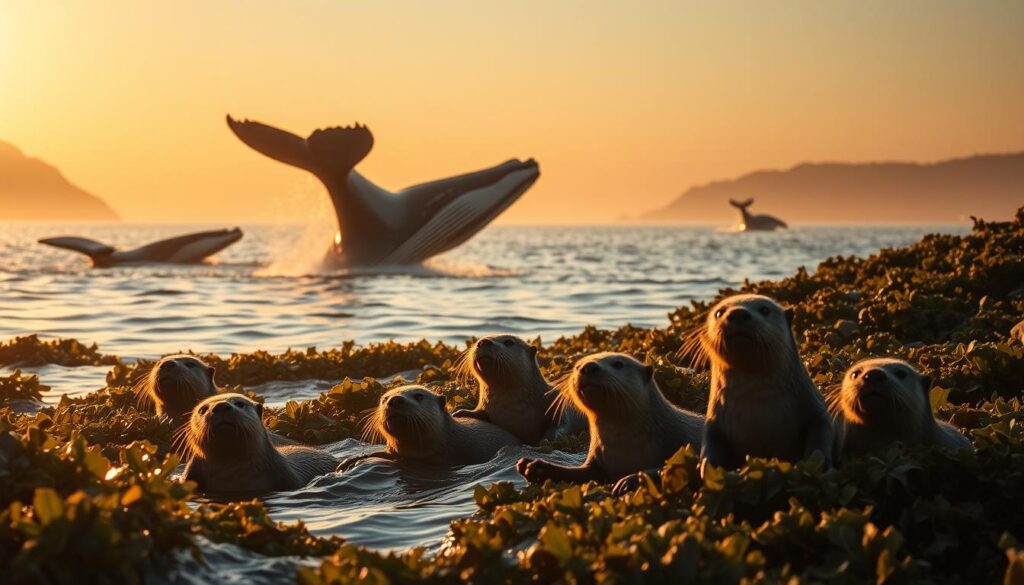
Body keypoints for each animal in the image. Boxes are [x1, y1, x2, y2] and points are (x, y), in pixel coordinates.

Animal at [453, 335, 586, 444]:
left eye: (508, 342)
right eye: (477, 341)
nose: (484, 342)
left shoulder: (556, 404)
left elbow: (561, 424)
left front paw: (546, 440)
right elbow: (480, 413)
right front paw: (461, 412)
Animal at [516, 352, 704, 485]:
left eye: (618, 364)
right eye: (577, 366)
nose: (588, 366)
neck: (626, 445)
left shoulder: (685, 440)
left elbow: (684, 465)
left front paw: (631, 480)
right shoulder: (597, 459)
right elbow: (582, 473)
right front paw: (534, 466)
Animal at [695, 294, 833, 473]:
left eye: (765, 310)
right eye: (719, 312)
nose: (737, 313)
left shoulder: (816, 411)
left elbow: (821, 434)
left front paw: (813, 463)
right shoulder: (713, 424)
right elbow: (710, 445)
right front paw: (706, 468)